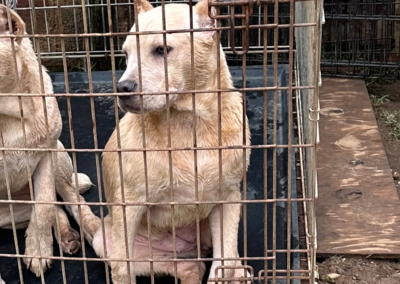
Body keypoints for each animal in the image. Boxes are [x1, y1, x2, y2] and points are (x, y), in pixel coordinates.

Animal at [0, 5, 101, 284]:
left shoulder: (46, 154)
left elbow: (44, 205)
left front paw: (38, 249)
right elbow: (46, 209)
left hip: (59, 157)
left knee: (70, 200)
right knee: (55, 209)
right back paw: (66, 236)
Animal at [92, 0, 252, 284]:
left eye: (162, 49)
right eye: (126, 54)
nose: (122, 88)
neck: (190, 124)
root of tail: (183, 250)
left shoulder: (229, 198)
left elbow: (223, 260)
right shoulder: (128, 205)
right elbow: (122, 265)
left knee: (225, 258)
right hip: (105, 239)